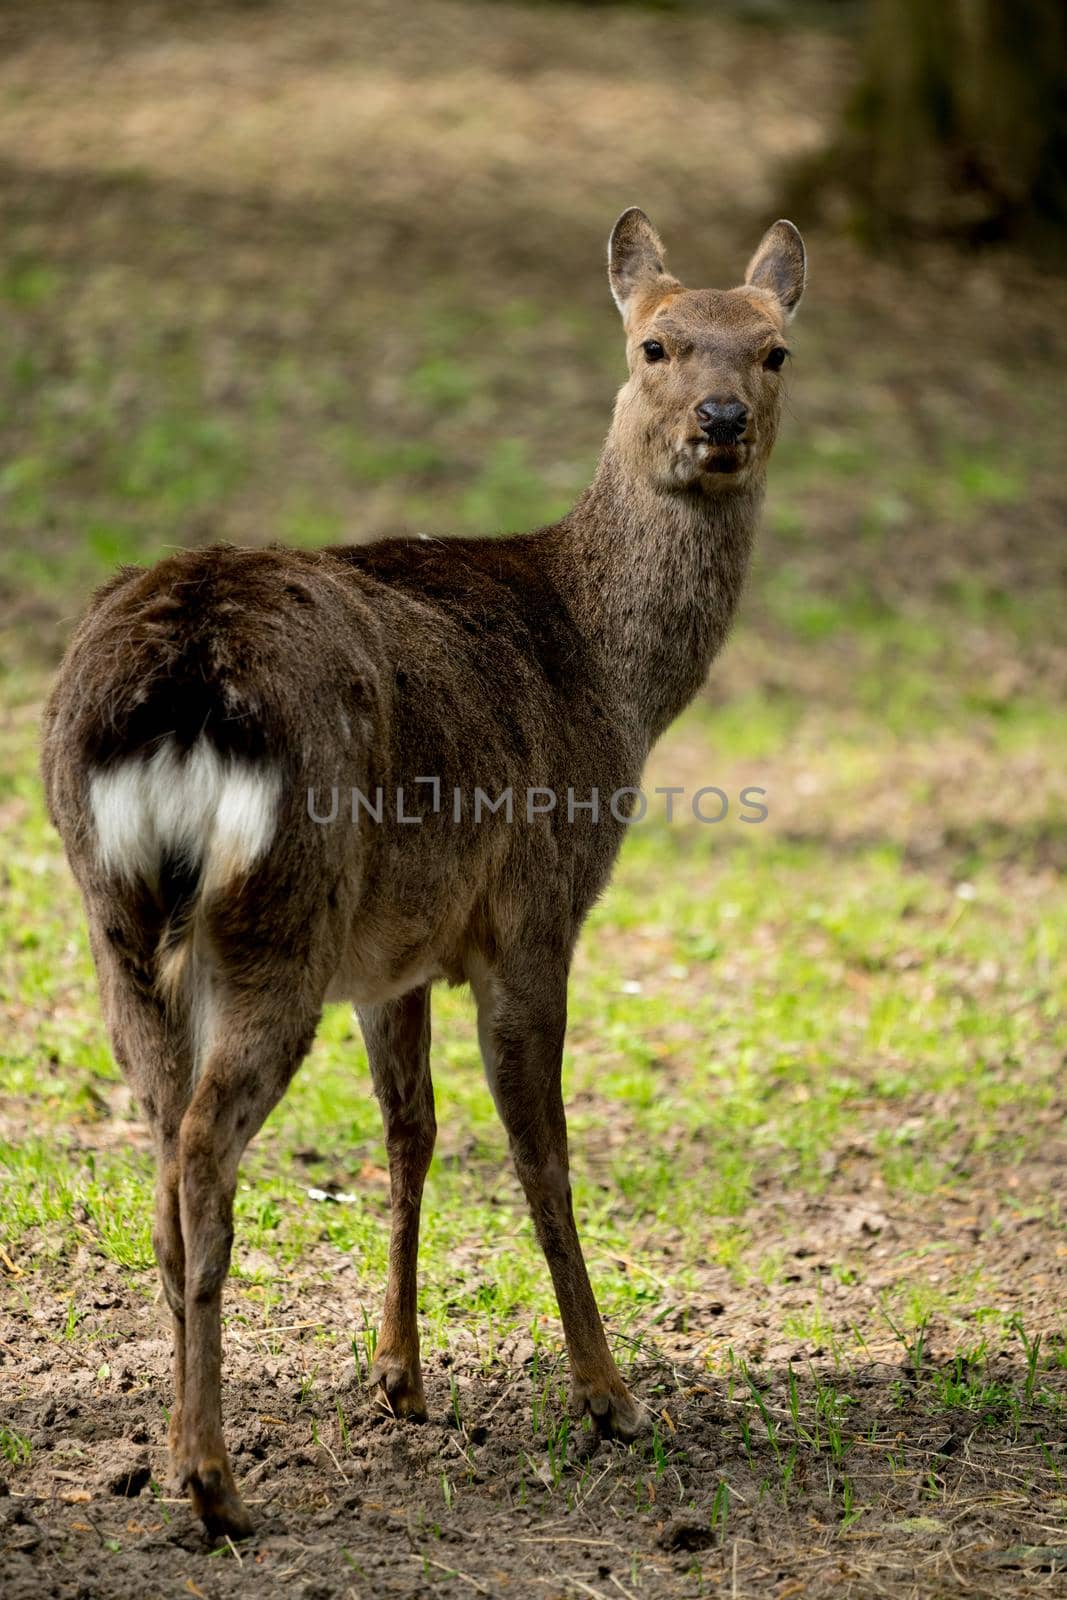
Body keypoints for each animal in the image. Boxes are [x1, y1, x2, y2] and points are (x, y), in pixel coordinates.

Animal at [43, 212, 809, 1536]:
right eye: (652, 343)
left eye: (773, 350)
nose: (718, 421)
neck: (611, 680)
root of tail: (182, 676)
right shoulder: (535, 911)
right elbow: (540, 1150)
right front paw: (609, 1396)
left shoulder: (391, 954)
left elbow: (411, 1131)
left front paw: (396, 1375)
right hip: (279, 911)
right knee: (202, 1152)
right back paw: (214, 1483)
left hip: (118, 920)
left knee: (160, 1156)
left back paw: (186, 1449)